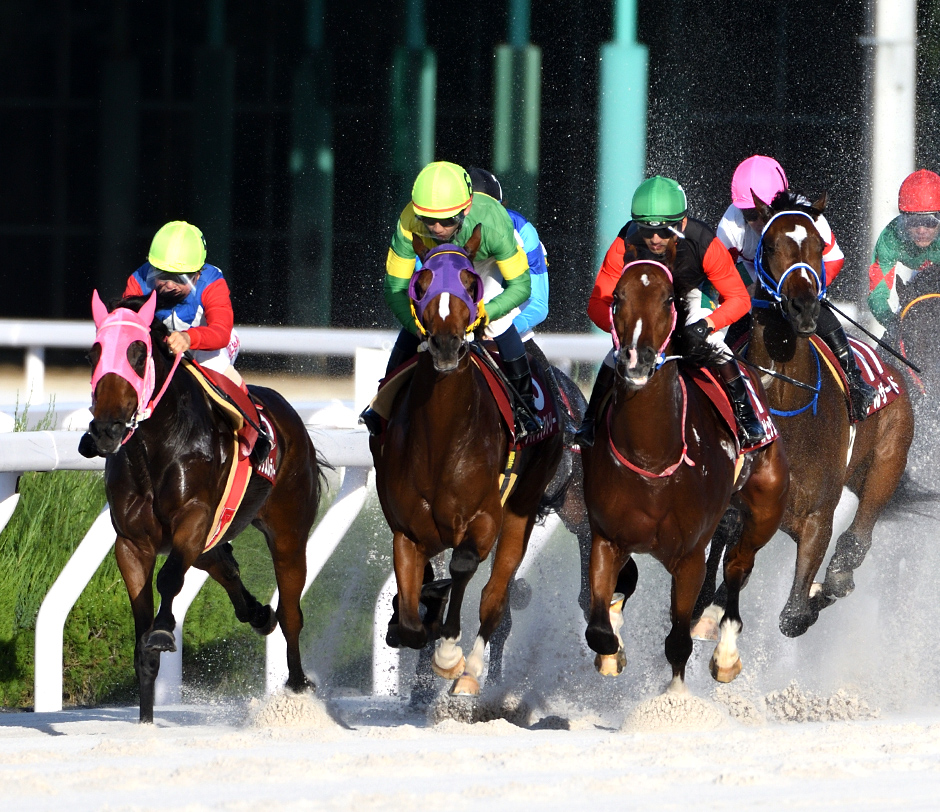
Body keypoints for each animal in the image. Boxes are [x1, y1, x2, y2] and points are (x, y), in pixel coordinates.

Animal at [85, 292, 326, 724]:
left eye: (137, 353)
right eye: (94, 353)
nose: (106, 429)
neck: (154, 448)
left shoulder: (194, 519)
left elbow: (167, 581)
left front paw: (164, 630)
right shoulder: (132, 543)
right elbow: (141, 626)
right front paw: (145, 719)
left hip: (288, 532)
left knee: (291, 612)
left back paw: (298, 686)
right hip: (215, 535)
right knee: (224, 565)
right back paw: (258, 613)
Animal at [372, 230, 564, 696]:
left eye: (469, 281)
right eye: (421, 282)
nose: (445, 344)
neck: (442, 440)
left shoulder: (484, 518)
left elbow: (462, 568)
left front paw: (448, 653)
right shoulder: (407, 530)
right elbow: (411, 622)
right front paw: (419, 613)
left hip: (522, 507)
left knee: (495, 598)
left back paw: (471, 671)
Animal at [580, 256, 792, 688]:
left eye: (666, 300)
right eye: (617, 296)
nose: (636, 360)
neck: (651, 459)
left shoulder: (690, 555)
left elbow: (678, 641)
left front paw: (675, 696)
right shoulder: (607, 538)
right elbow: (599, 627)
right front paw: (612, 650)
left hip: (765, 509)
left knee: (737, 566)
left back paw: (726, 652)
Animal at [692, 193, 916, 636]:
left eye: (816, 243)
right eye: (771, 245)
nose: (804, 308)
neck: (785, 400)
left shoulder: (817, 518)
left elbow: (793, 617)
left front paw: (811, 595)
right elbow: (727, 538)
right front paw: (711, 608)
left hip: (884, 465)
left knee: (855, 545)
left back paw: (834, 579)